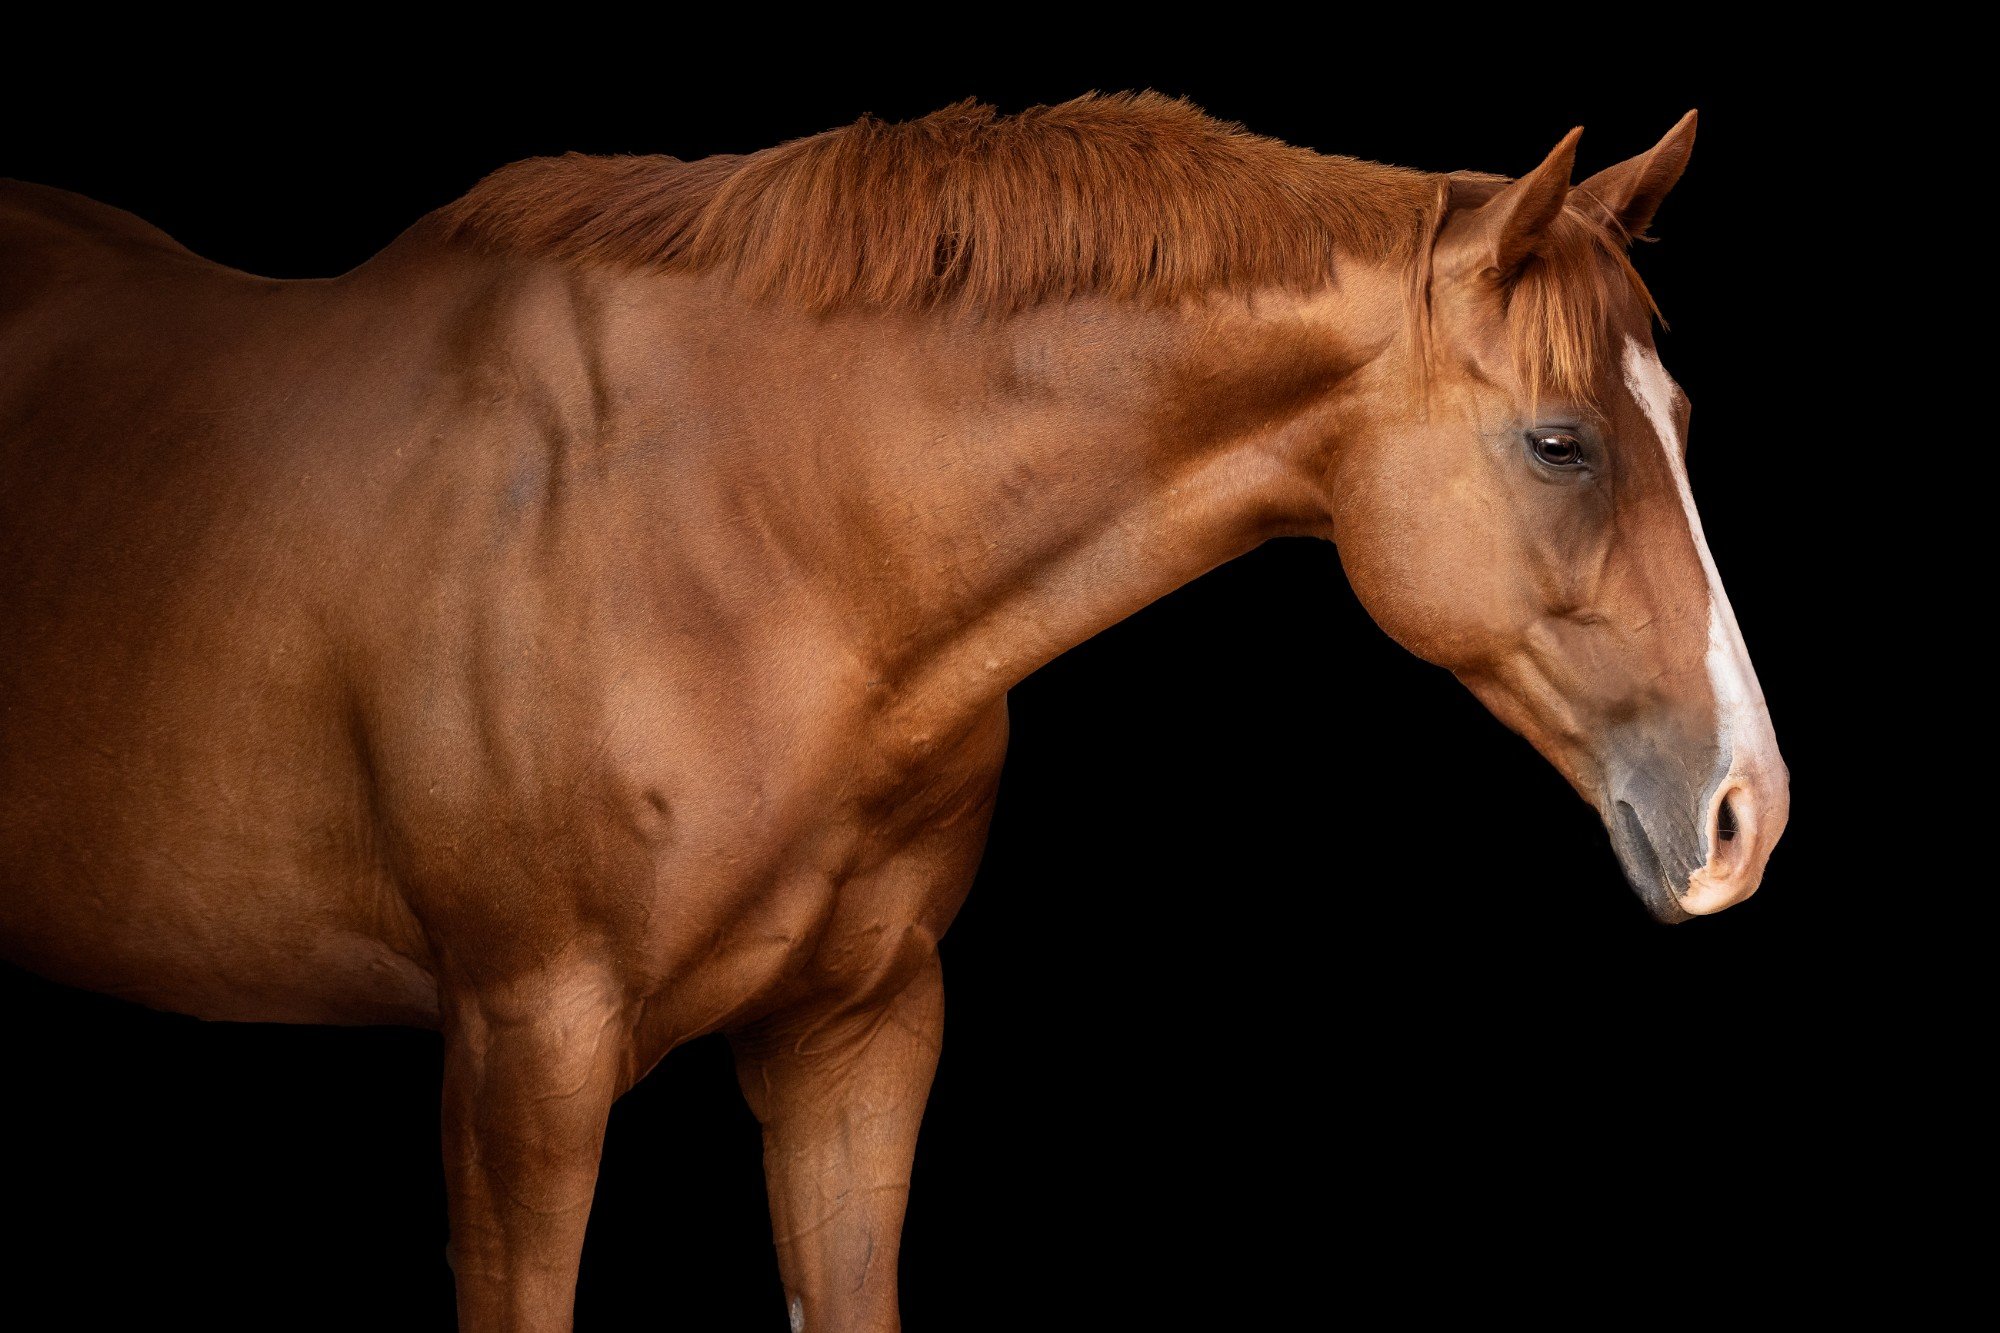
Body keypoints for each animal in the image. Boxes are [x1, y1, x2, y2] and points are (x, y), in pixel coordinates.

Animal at [0, 96, 1784, 1328]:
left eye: (1683, 420)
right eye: (1561, 442)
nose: (1745, 812)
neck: (739, 528)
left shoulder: (859, 1036)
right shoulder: (521, 1067)